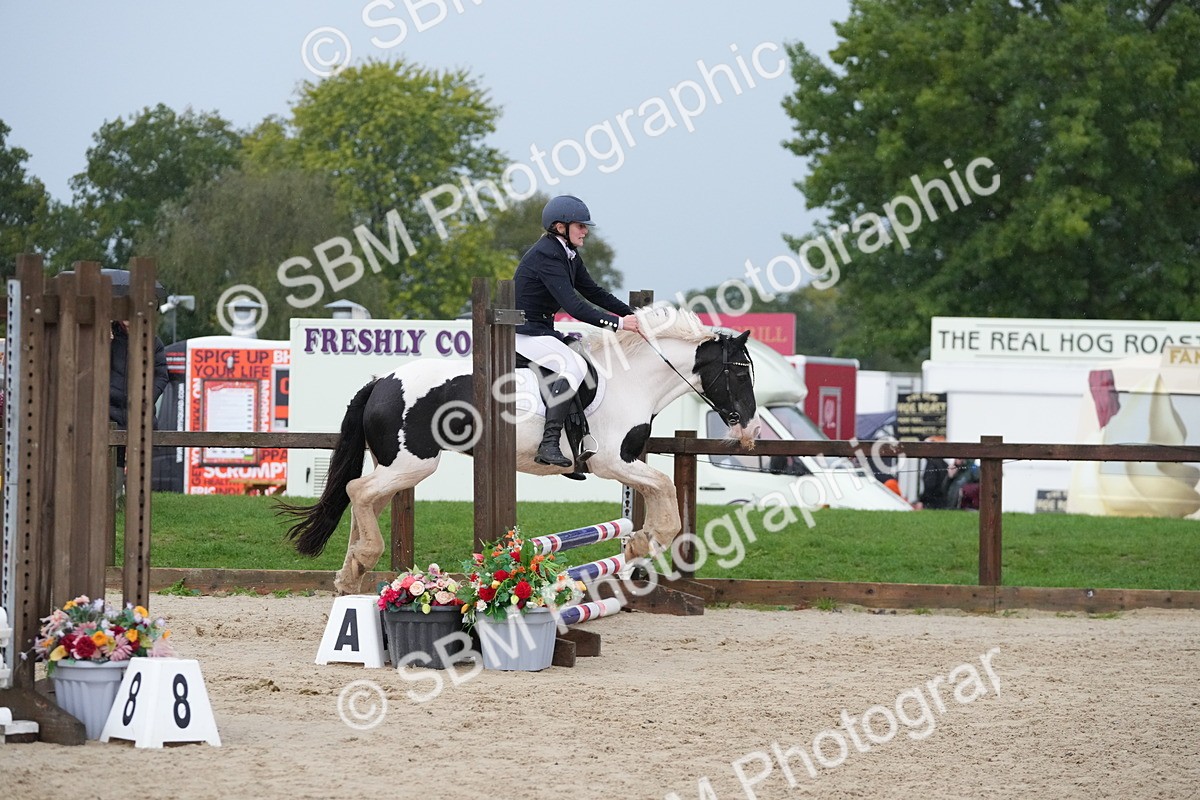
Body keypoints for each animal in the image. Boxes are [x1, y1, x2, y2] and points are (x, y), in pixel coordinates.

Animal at [278, 305, 759, 595]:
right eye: (739, 374)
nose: (752, 431)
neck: (632, 378)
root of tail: (381, 380)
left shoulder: (628, 463)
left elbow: (662, 494)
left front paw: (638, 544)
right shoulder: (611, 462)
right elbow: (666, 493)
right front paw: (643, 543)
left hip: (395, 464)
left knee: (365, 501)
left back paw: (349, 577)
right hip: (414, 463)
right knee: (358, 492)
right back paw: (362, 561)